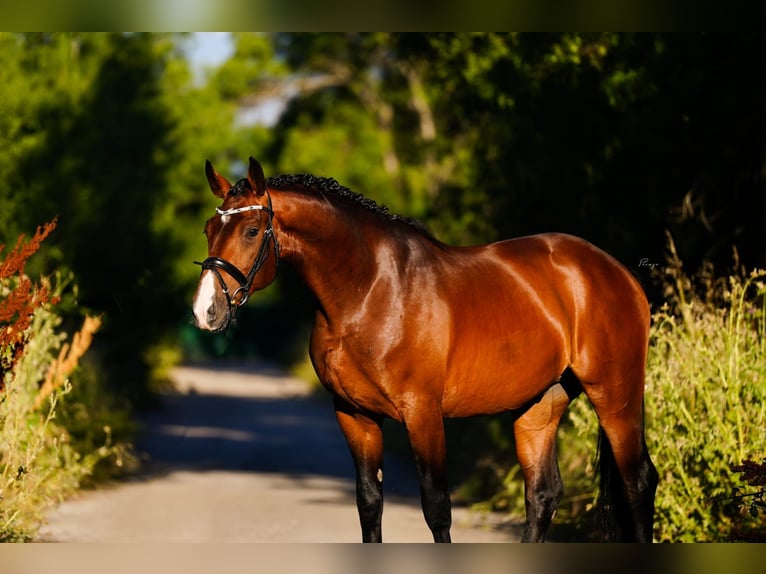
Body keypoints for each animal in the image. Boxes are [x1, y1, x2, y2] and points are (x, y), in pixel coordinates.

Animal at [192, 158, 660, 544]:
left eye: (252, 231)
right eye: (209, 231)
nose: (205, 310)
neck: (370, 288)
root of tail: (617, 270)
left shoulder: (423, 413)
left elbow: (437, 509)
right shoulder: (354, 414)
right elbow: (369, 504)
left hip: (615, 393)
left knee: (638, 482)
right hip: (542, 402)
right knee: (543, 493)